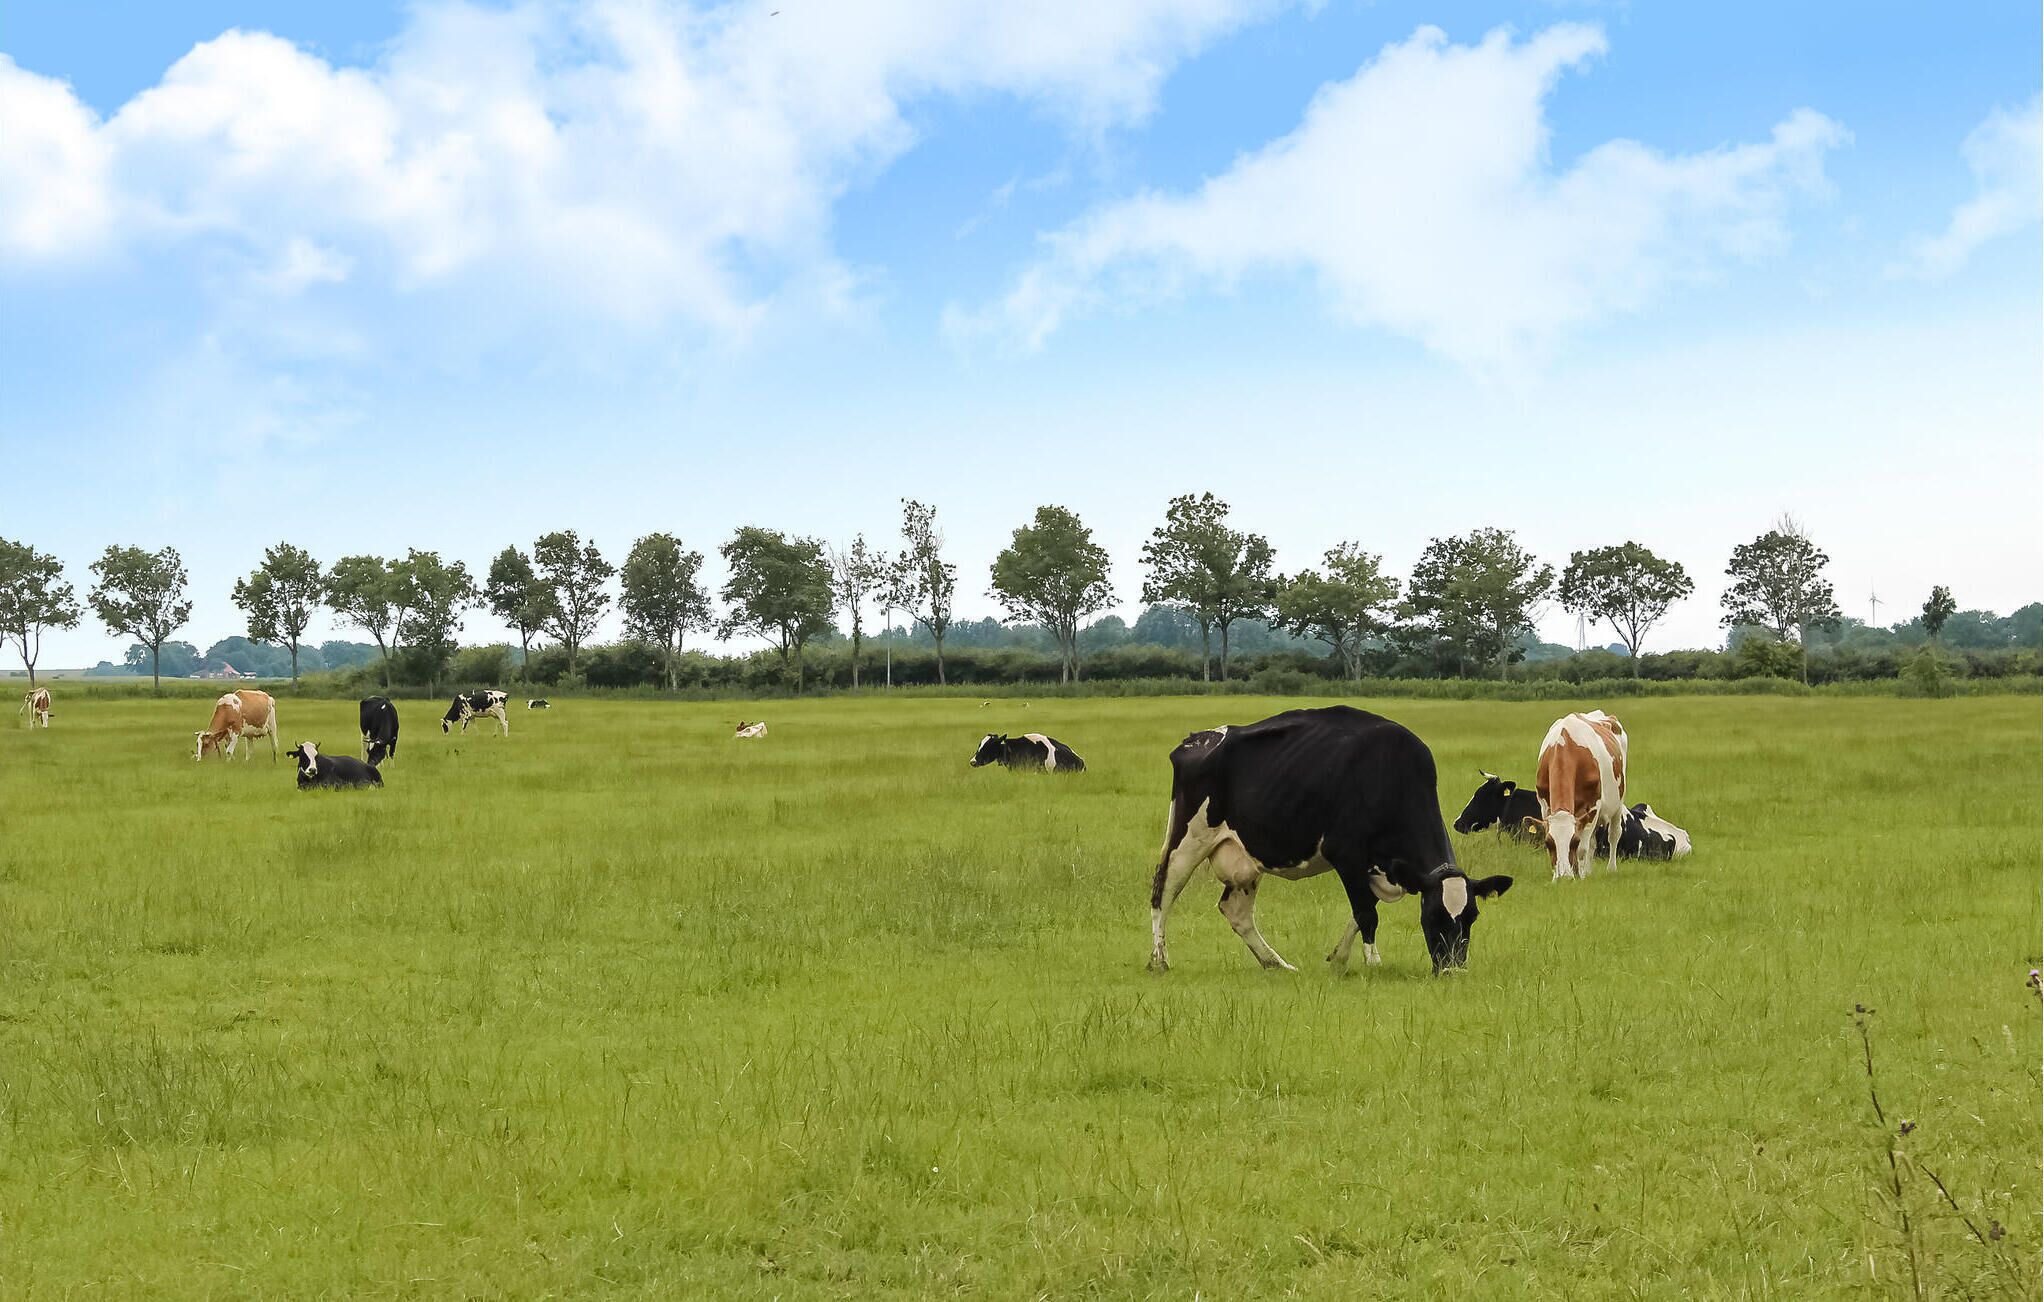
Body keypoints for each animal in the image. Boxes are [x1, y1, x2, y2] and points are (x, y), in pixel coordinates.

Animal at [1149, 706, 1512, 975]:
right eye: (1434, 915)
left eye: (1471, 917)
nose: (1453, 971)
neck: (1390, 773)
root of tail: (1197, 739)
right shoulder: (1347, 855)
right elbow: (1366, 913)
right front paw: (1373, 963)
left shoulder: (1379, 867)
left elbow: (1362, 910)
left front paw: (1338, 958)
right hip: (1188, 838)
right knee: (1163, 893)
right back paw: (1159, 960)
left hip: (1245, 860)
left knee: (1235, 911)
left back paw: (1275, 963)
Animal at [1535, 710, 1629, 879]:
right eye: (1548, 843)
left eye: (1574, 841)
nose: (1563, 877)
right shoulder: (1545, 806)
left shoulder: (1593, 807)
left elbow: (1582, 848)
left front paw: (1579, 876)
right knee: (1592, 842)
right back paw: (1589, 870)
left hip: (1618, 802)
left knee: (1614, 834)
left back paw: (1611, 869)